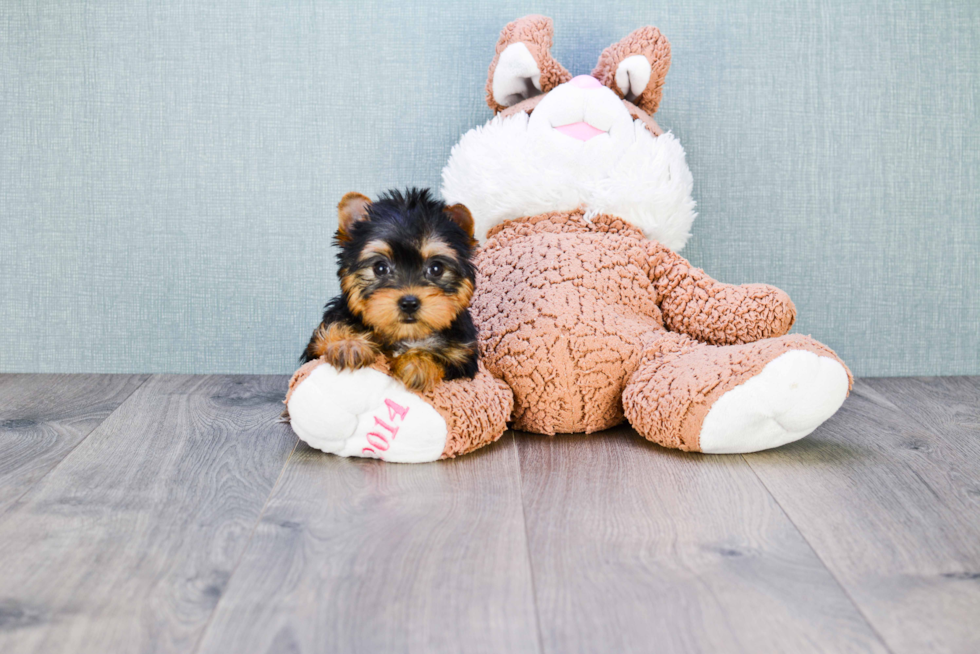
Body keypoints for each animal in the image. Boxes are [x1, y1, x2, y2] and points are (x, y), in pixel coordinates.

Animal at [302, 190, 478, 394]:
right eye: (380, 268)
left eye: (436, 268)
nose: (409, 303)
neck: (404, 335)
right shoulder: (316, 345)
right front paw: (348, 344)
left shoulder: (462, 355)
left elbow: (443, 357)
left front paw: (418, 364)